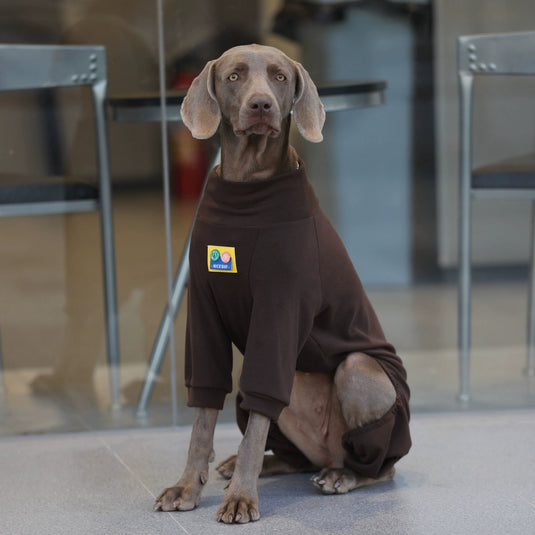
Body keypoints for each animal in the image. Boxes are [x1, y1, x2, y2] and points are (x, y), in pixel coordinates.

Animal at [153, 44, 412, 524]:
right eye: (234, 76)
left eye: (279, 77)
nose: (261, 106)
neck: (247, 188)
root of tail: (328, 454)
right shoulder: (202, 311)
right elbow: (203, 414)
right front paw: (187, 486)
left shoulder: (279, 308)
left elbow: (257, 424)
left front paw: (241, 498)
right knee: (296, 456)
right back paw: (256, 463)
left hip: (361, 375)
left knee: (378, 463)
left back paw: (344, 475)